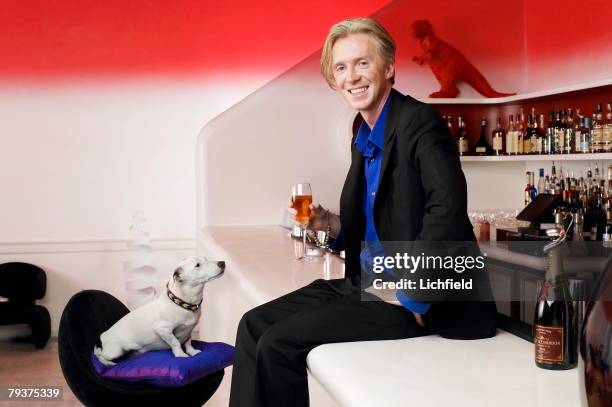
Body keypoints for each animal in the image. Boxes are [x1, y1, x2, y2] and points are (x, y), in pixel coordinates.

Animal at [97, 258, 226, 366]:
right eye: (197, 265)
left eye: (206, 259)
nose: (222, 263)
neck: (183, 304)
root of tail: (104, 334)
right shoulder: (163, 329)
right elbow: (175, 342)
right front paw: (180, 354)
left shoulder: (189, 330)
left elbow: (188, 342)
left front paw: (192, 352)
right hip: (115, 351)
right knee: (99, 355)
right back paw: (106, 361)